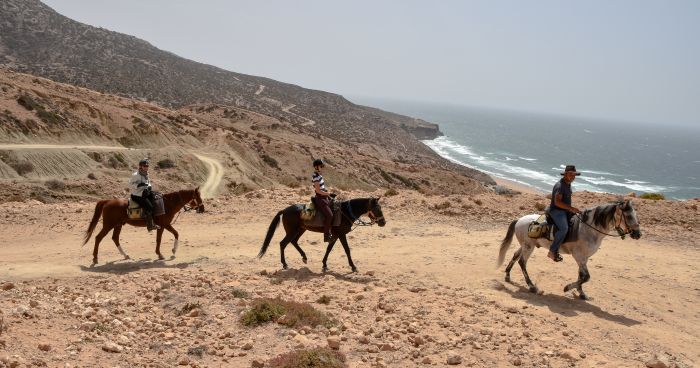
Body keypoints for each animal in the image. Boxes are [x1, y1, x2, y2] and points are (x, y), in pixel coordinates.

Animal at [498, 200, 640, 300]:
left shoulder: (584, 258)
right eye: (628, 216)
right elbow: (586, 276)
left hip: (525, 245)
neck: (588, 229)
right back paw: (532, 286)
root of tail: (519, 220)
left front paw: (581, 293)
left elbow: (581, 275)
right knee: (522, 262)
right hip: (528, 247)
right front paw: (567, 288)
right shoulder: (579, 256)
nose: (638, 234)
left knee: (515, 255)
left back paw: (507, 275)